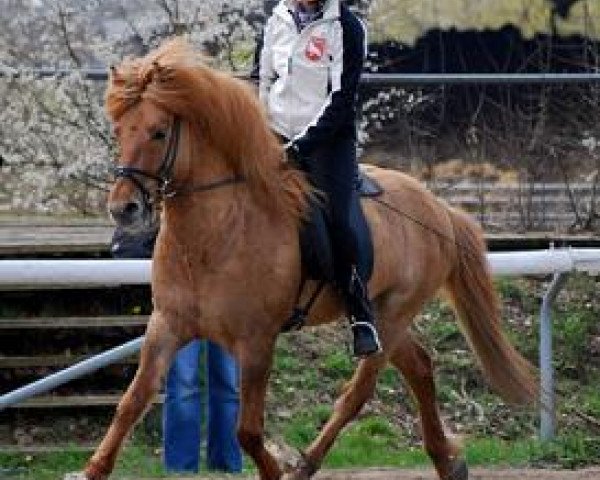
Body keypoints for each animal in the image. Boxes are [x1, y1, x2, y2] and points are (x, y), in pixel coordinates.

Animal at [79, 40, 536, 480]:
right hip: (386, 315)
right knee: (420, 366)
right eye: (119, 130)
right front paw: (92, 470)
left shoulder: (256, 341)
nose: (123, 209)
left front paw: (276, 471)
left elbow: (247, 431)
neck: (215, 235)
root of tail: (440, 210)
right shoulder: (167, 325)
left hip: (393, 315)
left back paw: (306, 464)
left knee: (357, 393)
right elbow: (132, 402)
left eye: (158, 133)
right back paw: (447, 461)